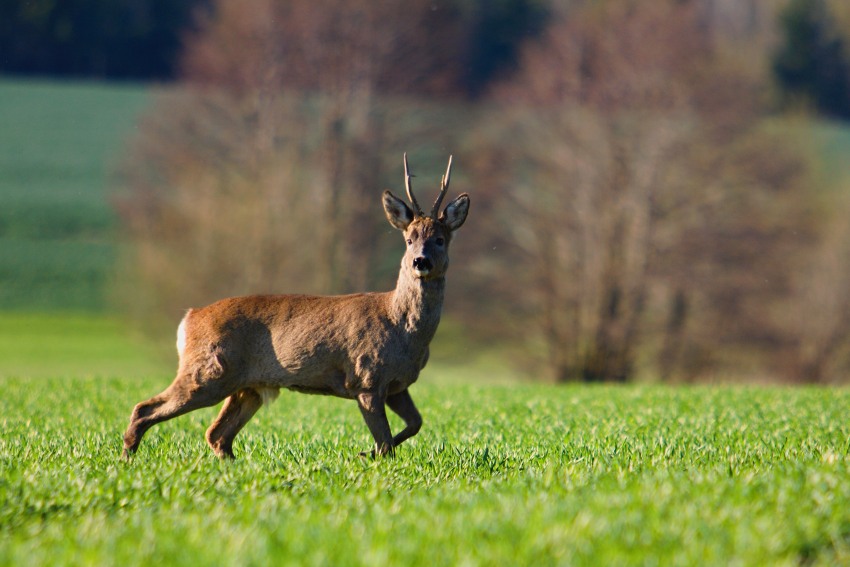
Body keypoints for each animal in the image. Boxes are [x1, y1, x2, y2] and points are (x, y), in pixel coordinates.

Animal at [121, 154, 469, 460]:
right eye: (409, 239)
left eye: (439, 239)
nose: (420, 261)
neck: (402, 329)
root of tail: (188, 318)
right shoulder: (366, 378)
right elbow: (385, 443)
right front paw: (367, 455)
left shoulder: (397, 384)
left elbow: (415, 424)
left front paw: (363, 452)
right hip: (207, 371)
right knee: (145, 409)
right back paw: (127, 457)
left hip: (247, 386)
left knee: (217, 434)